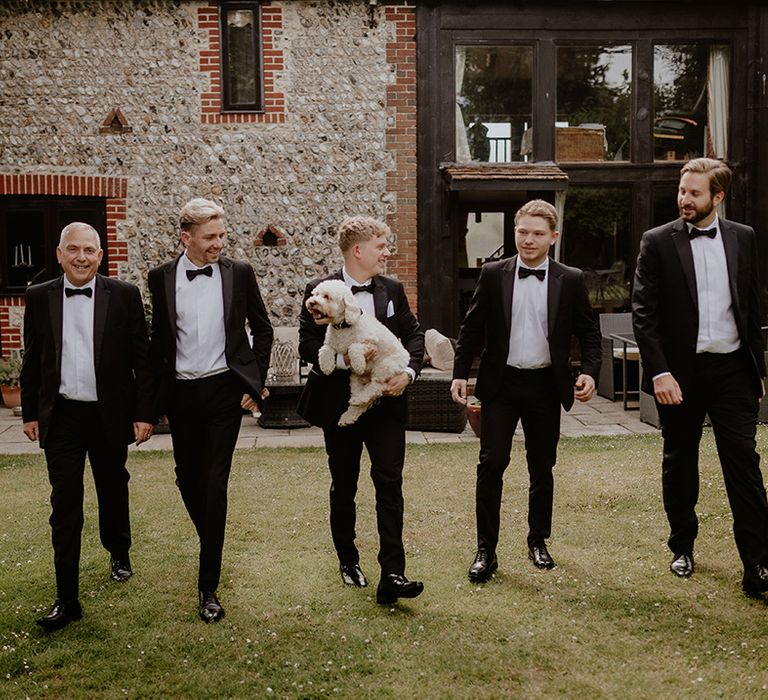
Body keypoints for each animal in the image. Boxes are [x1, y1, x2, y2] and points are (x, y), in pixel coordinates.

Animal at [306, 278, 414, 426]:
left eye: (326, 296)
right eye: (315, 294)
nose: (311, 303)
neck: (343, 327)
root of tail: (405, 361)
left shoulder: (370, 344)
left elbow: (353, 347)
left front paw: (358, 364)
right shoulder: (330, 344)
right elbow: (325, 349)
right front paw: (326, 366)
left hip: (384, 366)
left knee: (377, 387)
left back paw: (360, 398)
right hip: (355, 379)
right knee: (363, 401)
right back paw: (350, 412)